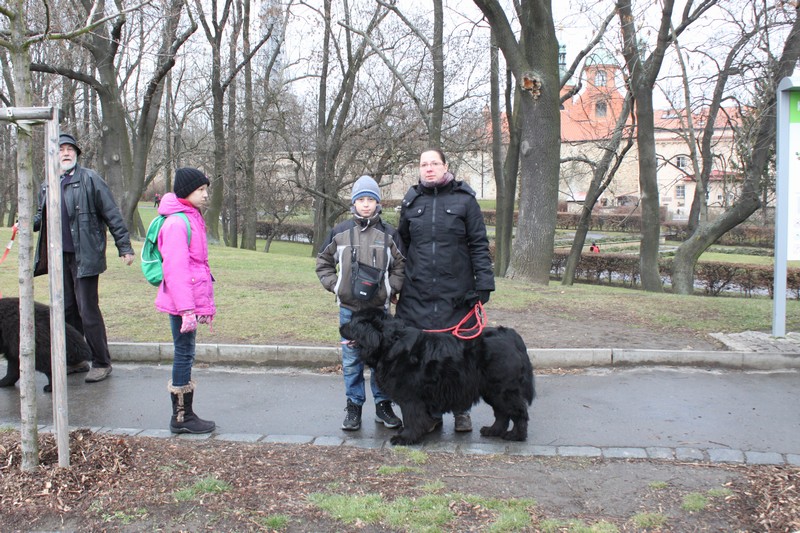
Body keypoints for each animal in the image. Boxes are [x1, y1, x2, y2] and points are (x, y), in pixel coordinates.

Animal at [340, 308, 536, 444]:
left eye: (352, 323)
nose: (340, 327)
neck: (390, 342)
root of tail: (511, 336)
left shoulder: (410, 396)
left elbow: (411, 417)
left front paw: (405, 438)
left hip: (503, 389)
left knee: (518, 412)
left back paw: (516, 435)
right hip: (491, 390)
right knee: (502, 413)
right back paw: (493, 431)